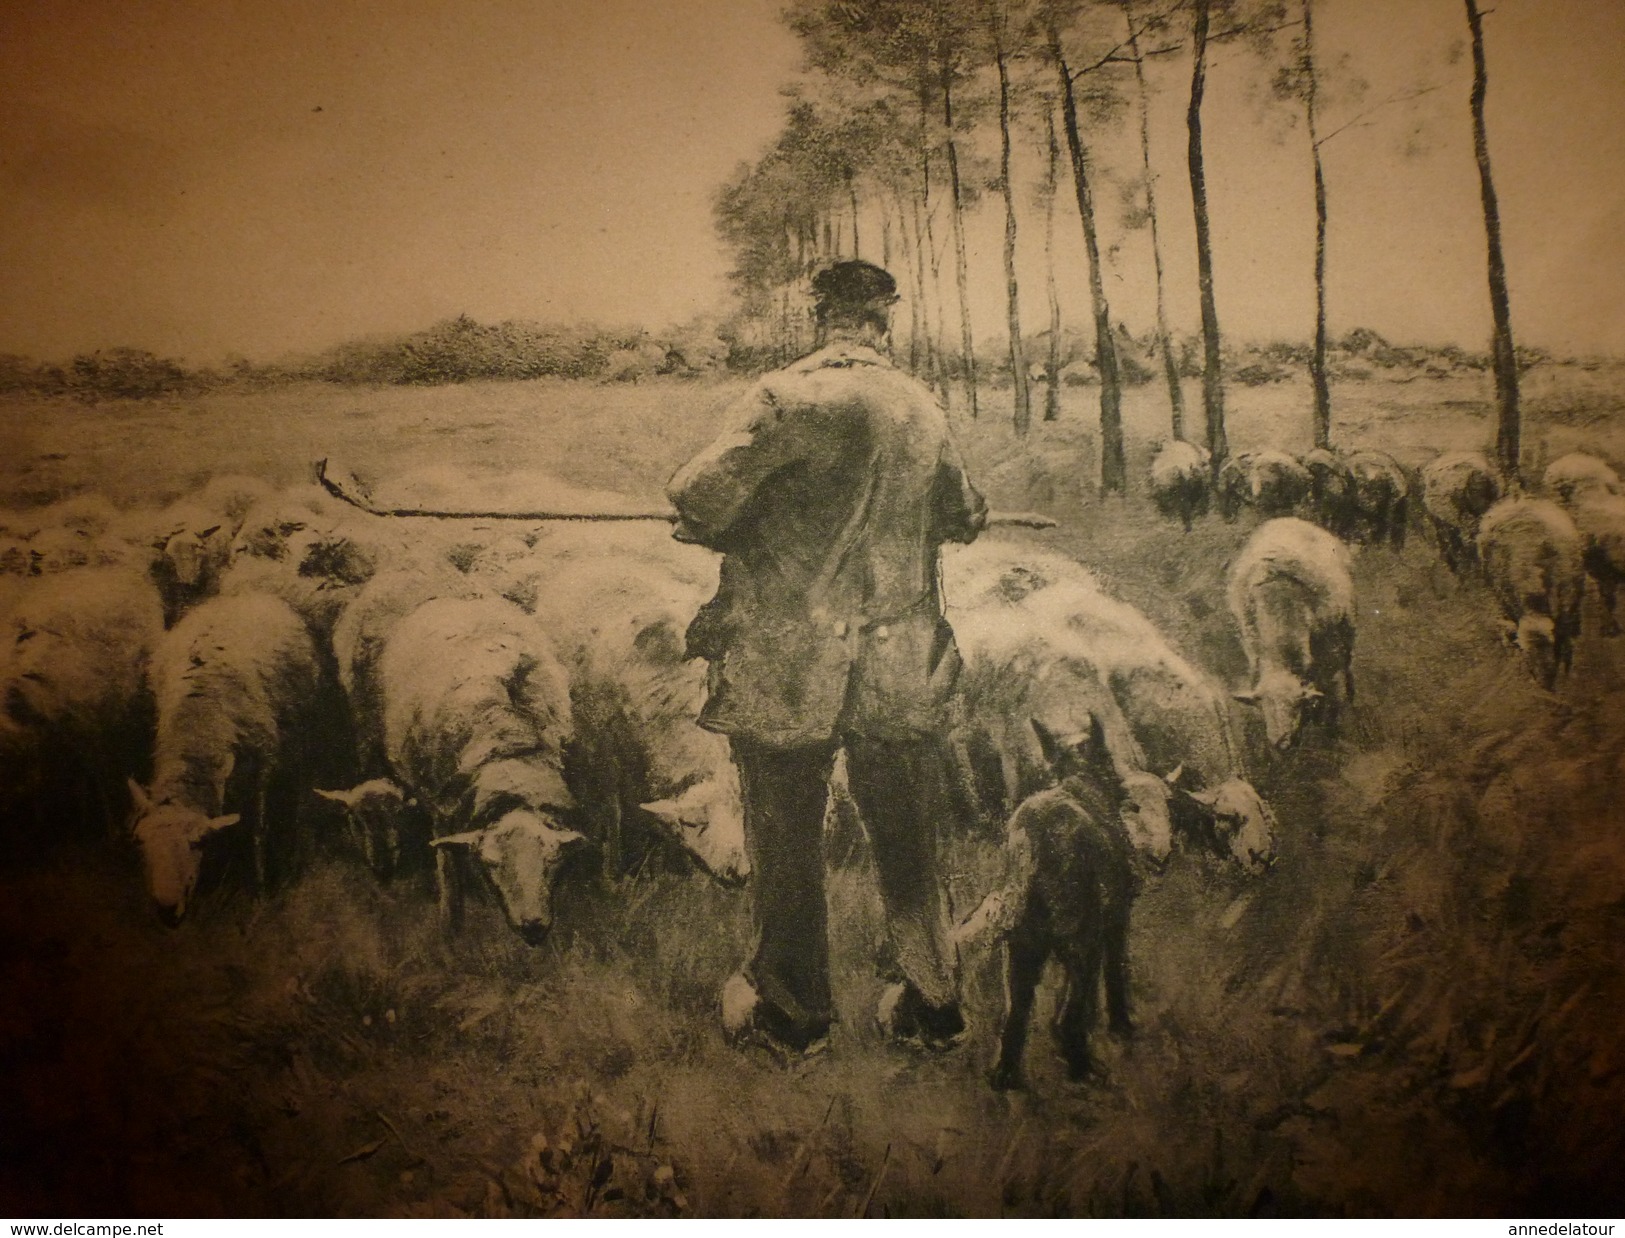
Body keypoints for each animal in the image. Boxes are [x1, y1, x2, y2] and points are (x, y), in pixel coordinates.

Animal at [128, 588, 331, 916]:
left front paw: (259, 890)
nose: (166, 909)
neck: (199, 722)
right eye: (142, 842)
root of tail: (245, 595)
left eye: (197, 843)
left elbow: (256, 831)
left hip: (301, 728)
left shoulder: (263, 765)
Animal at [1228, 513, 1358, 747]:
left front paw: (1332, 729)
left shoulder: (1331, 653)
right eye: (1262, 704)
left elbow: (1333, 693)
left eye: (1295, 704)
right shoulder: (1253, 649)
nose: (1280, 743)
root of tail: (1287, 519)